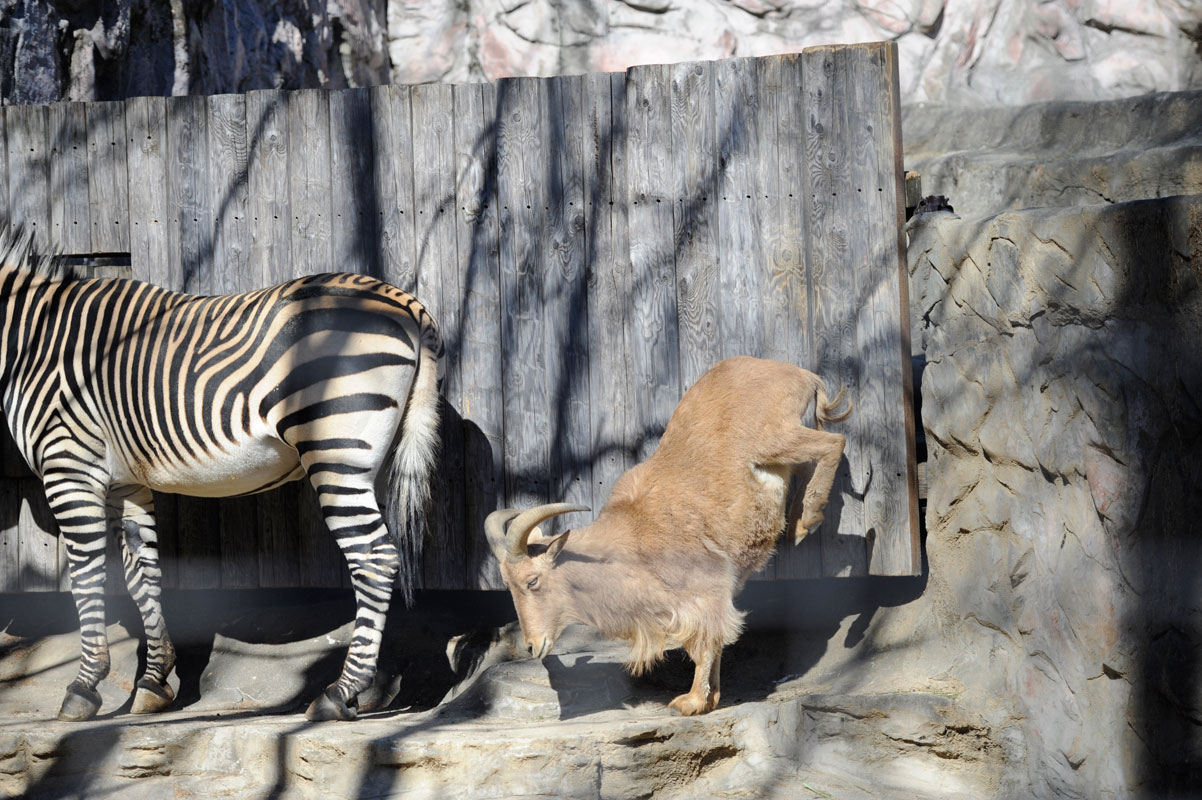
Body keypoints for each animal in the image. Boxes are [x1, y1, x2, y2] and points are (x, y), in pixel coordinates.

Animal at [0, 227, 447, 720]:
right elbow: (143, 572)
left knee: (374, 557)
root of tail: (404, 300)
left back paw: (339, 692)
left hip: (335, 448)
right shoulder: (127, 480)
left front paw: (84, 686)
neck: (30, 340)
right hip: (376, 458)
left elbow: (85, 577)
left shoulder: (69, 465)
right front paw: (155, 682)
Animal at [483, 353, 851, 711]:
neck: (634, 540)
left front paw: (691, 702)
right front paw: (712, 698)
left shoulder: (707, 592)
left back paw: (806, 521)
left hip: (773, 439)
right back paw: (800, 518)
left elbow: (706, 642)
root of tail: (799, 373)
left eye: (533, 581)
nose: (533, 646)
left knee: (833, 441)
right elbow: (710, 643)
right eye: (508, 585)